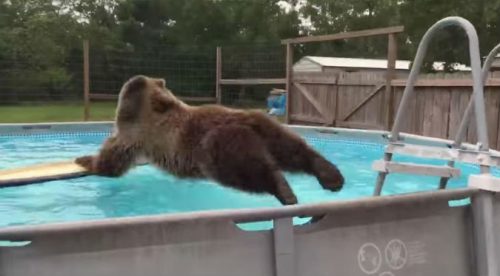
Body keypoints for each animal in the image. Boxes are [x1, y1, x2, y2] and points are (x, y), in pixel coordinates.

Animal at [76, 75, 344, 205]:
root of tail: (245, 124)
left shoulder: (134, 136)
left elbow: (112, 162)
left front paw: (84, 159)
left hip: (217, 148)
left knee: (249, 170)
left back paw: (284, 191)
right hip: (266, 128)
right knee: (293, 148)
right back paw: (330, 175)